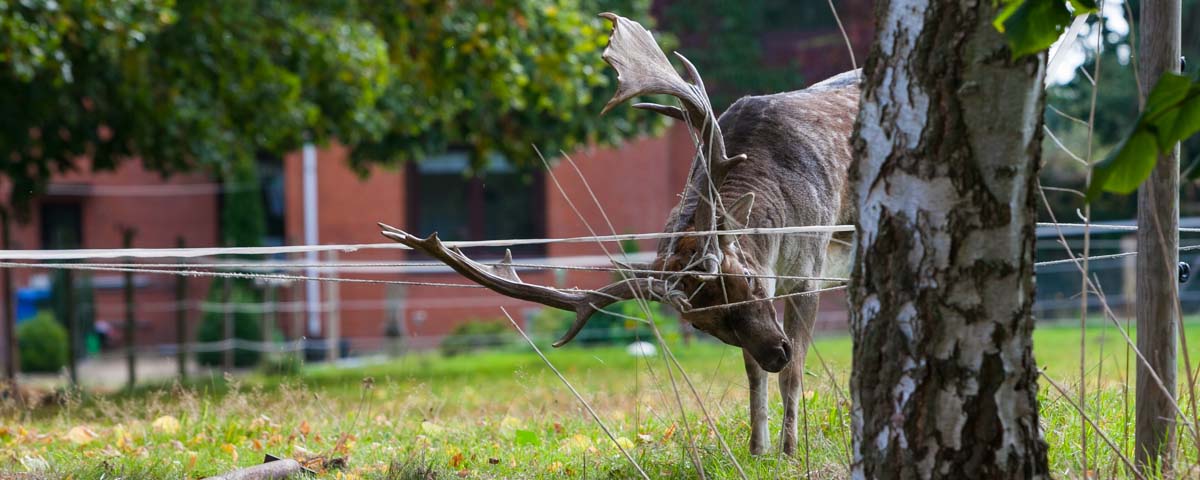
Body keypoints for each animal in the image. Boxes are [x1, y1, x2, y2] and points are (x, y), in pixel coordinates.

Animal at [379, 13, 859, 456]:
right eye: (704, 323)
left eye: (749, 282)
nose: (776, 351)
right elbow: (752, 372)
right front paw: (758, 450)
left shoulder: (811, 265)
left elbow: (794, 374)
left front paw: (791, 452)